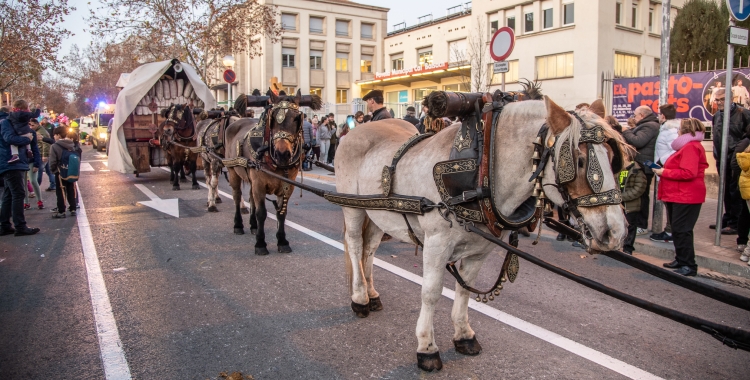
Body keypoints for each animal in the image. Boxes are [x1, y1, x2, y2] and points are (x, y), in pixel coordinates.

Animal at [220, 90, 320, 255]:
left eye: (297, 118)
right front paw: (260, 243)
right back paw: (238, 225)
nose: (282, 154)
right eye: (272, 118)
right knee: (237, 196)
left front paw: (282, 241)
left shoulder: (287, 186)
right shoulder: (259, 184)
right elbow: (262, 213)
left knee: (251, 199)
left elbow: (281, 213)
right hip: (233, 171)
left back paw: (253, 226)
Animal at [334, 95, 628, 372]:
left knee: (369, 250)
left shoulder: (479, 250)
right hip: (353, 208)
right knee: (355, 245)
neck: (481, 172)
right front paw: (427, 348)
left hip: (378, 215)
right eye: (578, 161)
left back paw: (372, 294)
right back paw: (359, 298)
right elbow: (431, 292)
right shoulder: (436, 245)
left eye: (613, 159)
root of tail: (356, 131)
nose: (615, 233)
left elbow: (464, 289)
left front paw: (464, 335)